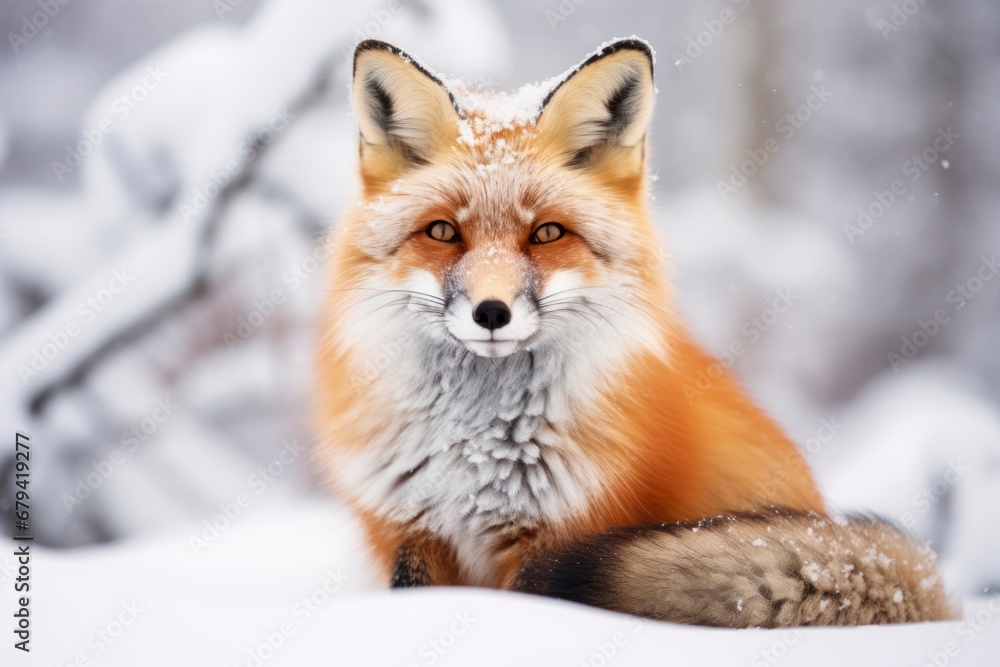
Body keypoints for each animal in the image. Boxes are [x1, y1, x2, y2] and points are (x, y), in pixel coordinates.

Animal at [315, 37, 956, 627]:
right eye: (443, 231)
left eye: (547, 233)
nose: (491, 312)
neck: (475, 450)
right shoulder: (412, 529)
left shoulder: (558, 536)